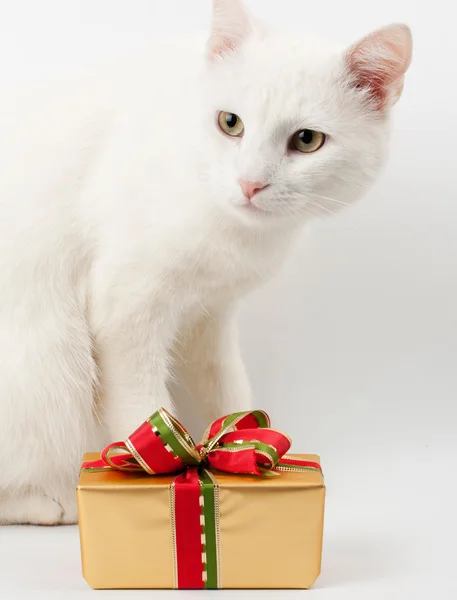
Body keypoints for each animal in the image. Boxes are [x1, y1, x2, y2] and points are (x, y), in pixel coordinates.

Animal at [0, 0, 412, 524]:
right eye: (230, 122)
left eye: (307, 140)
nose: (250, 183)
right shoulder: (125, 309)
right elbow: (141, 408)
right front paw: (164, 474)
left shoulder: (209, 316)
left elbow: (227, 389)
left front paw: (241, 452)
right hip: (50, 360)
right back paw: (50, 504)